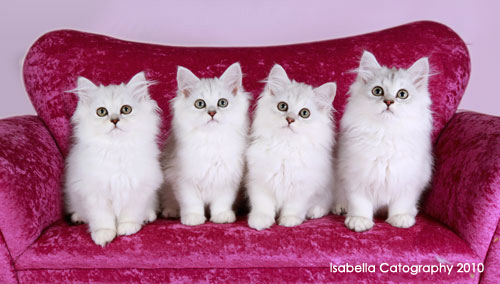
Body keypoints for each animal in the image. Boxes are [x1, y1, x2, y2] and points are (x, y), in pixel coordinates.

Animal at [65, 72, 162, 246]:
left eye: (126, 110)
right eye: (102, 112)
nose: (115, 120)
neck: (117, 148)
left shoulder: (137, 188)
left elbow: (130, 213)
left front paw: (127, 228)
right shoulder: (95, 193)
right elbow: (102, 219)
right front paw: (103, 235)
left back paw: (147, 216)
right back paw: (78, 217)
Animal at [161, 62, 250, 226]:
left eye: (222, 102)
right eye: (200, 104)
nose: (212, 113)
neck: (211, 140)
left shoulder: (227, 178)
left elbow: (222, 202)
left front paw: (221, 216)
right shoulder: (183, 180)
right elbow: (191, 202)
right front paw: (193, 218)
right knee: (168, 200)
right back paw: (171, 212)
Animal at [246, 65, 336, 231]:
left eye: (305, 113)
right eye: (283, 106)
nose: (290, 119)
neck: (285, 146)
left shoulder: (302, 187)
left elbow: (294, 207)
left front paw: (289, 220)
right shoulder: (259, 181)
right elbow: (263, 205)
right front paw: (260, 220)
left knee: (324, 203)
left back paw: (315, 211)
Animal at [338, 51, 436, 232]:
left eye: (402, 94)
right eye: (377, 91)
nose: (389, 102)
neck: (385, 133)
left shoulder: (408, 179)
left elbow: (401, 203)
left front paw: (400, 218)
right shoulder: (356, 176)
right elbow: (360, 203)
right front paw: (359, 220)